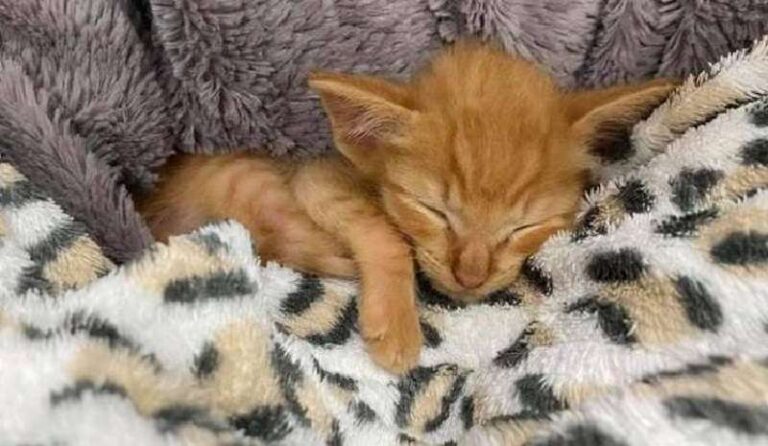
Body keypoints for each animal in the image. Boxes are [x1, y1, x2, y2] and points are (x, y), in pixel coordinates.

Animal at [141, 42, 676, 372]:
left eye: (524, 226)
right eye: (434, 210)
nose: (471, 275)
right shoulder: (315, 179)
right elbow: (386, 234)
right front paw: (397, 325)